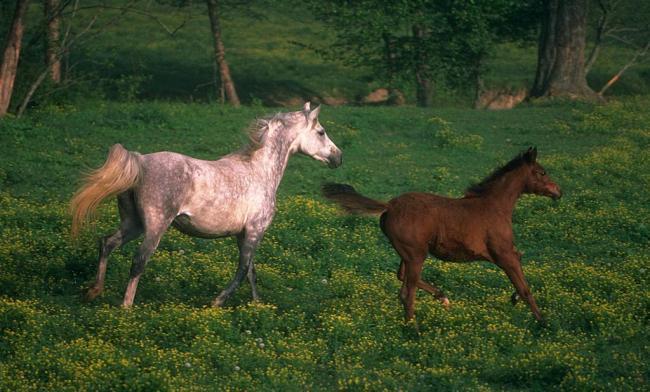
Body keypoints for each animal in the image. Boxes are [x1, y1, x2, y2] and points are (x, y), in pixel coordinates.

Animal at [71, 102, 342, 308]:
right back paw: (126, 306)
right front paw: (217, 302)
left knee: (107, 243)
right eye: (321, 131)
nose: (338, 157)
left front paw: (257, 306)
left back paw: (94, 291)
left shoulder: (243, 234)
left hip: (133, 223)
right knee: (139, 260)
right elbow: (243, 270)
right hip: (155, 226)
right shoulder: (255, 231)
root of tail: (140, 162)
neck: (259, 171)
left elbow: (252, 273)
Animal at [322, 147, 560, 324]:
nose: (558, 191)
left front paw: (515, 300)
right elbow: (525, 288)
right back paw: (413, 331)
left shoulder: (508, 254)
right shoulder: (504, 255)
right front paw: (543, 323)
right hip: (416, 255)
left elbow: (521, 280)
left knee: (402, 279)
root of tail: (389, 206)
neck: (494, 206)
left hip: (409, 254)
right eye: (541, 172)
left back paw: (441, 297)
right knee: (407, 294)